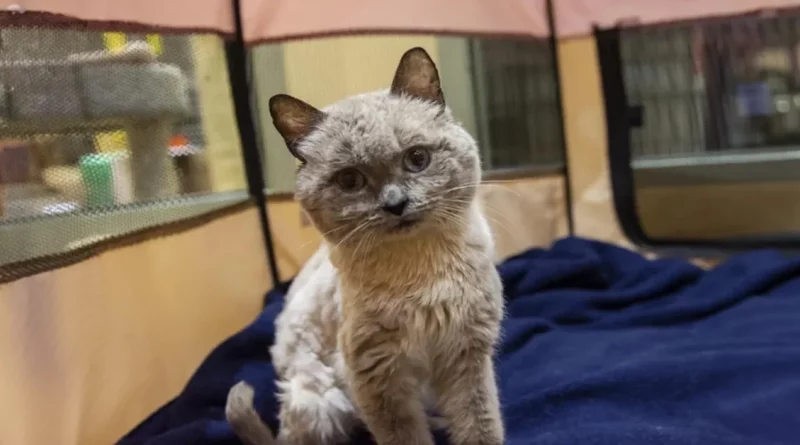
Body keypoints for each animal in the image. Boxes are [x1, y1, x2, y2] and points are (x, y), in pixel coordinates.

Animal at [225, 46, 504, 442]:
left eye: (417, 159)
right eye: (350, 180)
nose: (395, 204)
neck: (421, 277)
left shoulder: (466, 360)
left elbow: (480, 428)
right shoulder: (378, 379)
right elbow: (405, 436)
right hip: (322, 403)